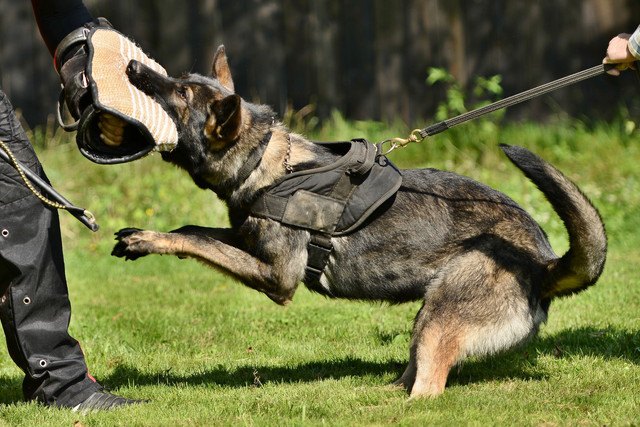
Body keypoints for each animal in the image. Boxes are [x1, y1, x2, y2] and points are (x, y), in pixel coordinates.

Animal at [112, 46, 608, 398]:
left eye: (179, 95)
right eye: (179, 80)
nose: (132, 66)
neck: (267, 164)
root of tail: (542, 262)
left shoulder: (276, 278)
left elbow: (197, 241)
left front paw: (145, 239)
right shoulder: (244, 240)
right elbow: (193, 232)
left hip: (440, 314)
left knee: (429, 390)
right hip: (426, 320)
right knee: (412, 373)